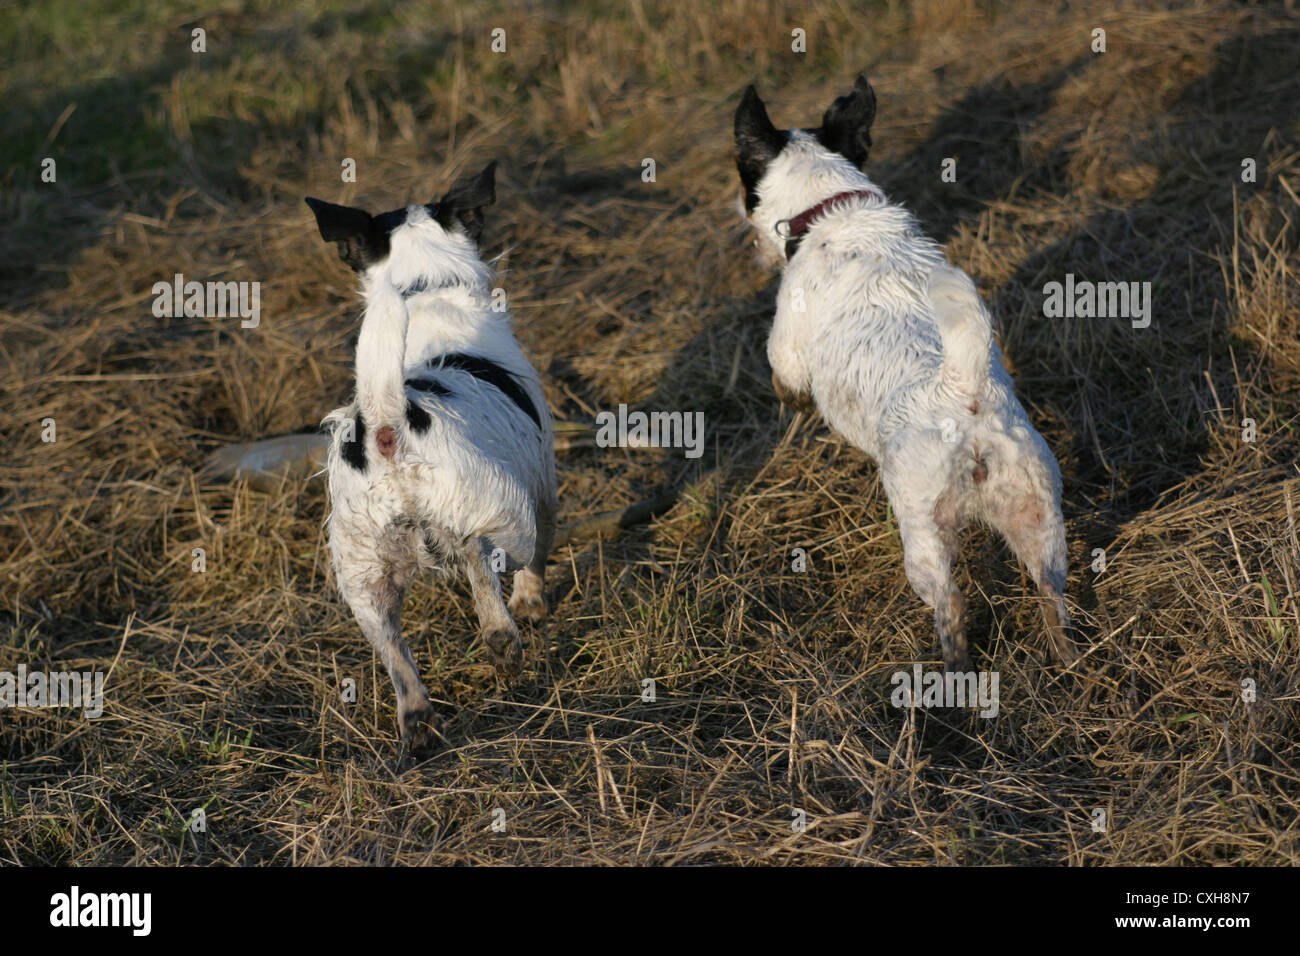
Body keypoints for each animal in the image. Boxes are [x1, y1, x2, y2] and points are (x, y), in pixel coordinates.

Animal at [733, 76, 1076, 671]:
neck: (833, 212)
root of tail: (964, 390)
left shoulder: (786, 352)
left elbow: (786, 384)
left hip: (924, 536)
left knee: (952, 606)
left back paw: (953, 674)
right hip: (1037, 517)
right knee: (1050, 590)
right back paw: (1071, 659)